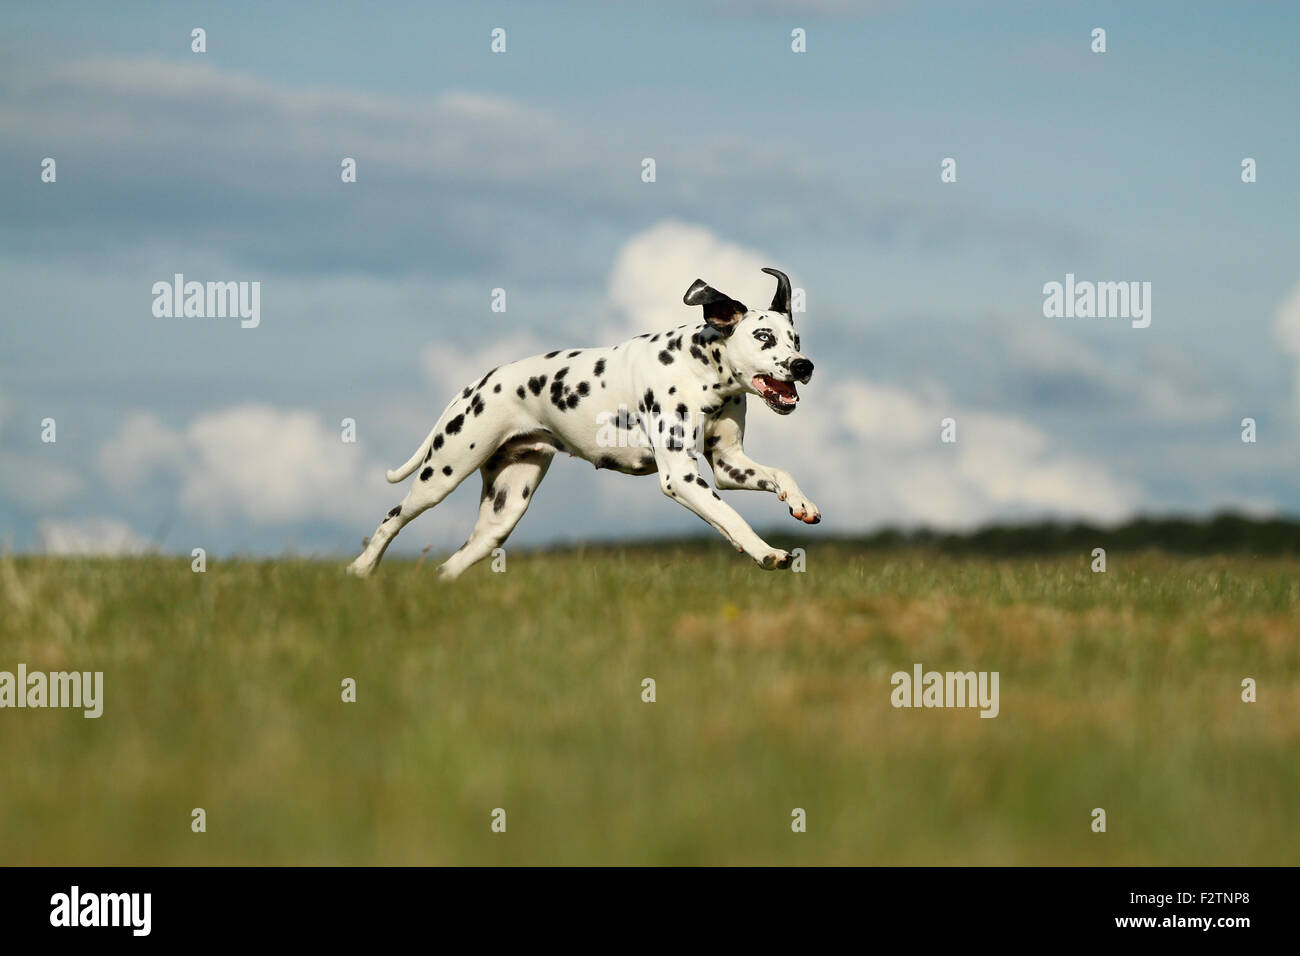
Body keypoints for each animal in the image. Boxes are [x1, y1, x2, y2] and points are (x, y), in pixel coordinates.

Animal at [345, 269, 811, 582]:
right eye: (764, 337)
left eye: (796, 339)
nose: (803, 366)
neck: (700, 369)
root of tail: (474, 385)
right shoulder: (680, 476)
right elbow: (732, 517)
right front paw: (766, 552)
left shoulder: (729, 465)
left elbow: (778, 476)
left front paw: (800, 502)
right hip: (442, 473)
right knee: (392, 517)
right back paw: (361, 569)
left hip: (505, 509)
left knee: (456, 560)